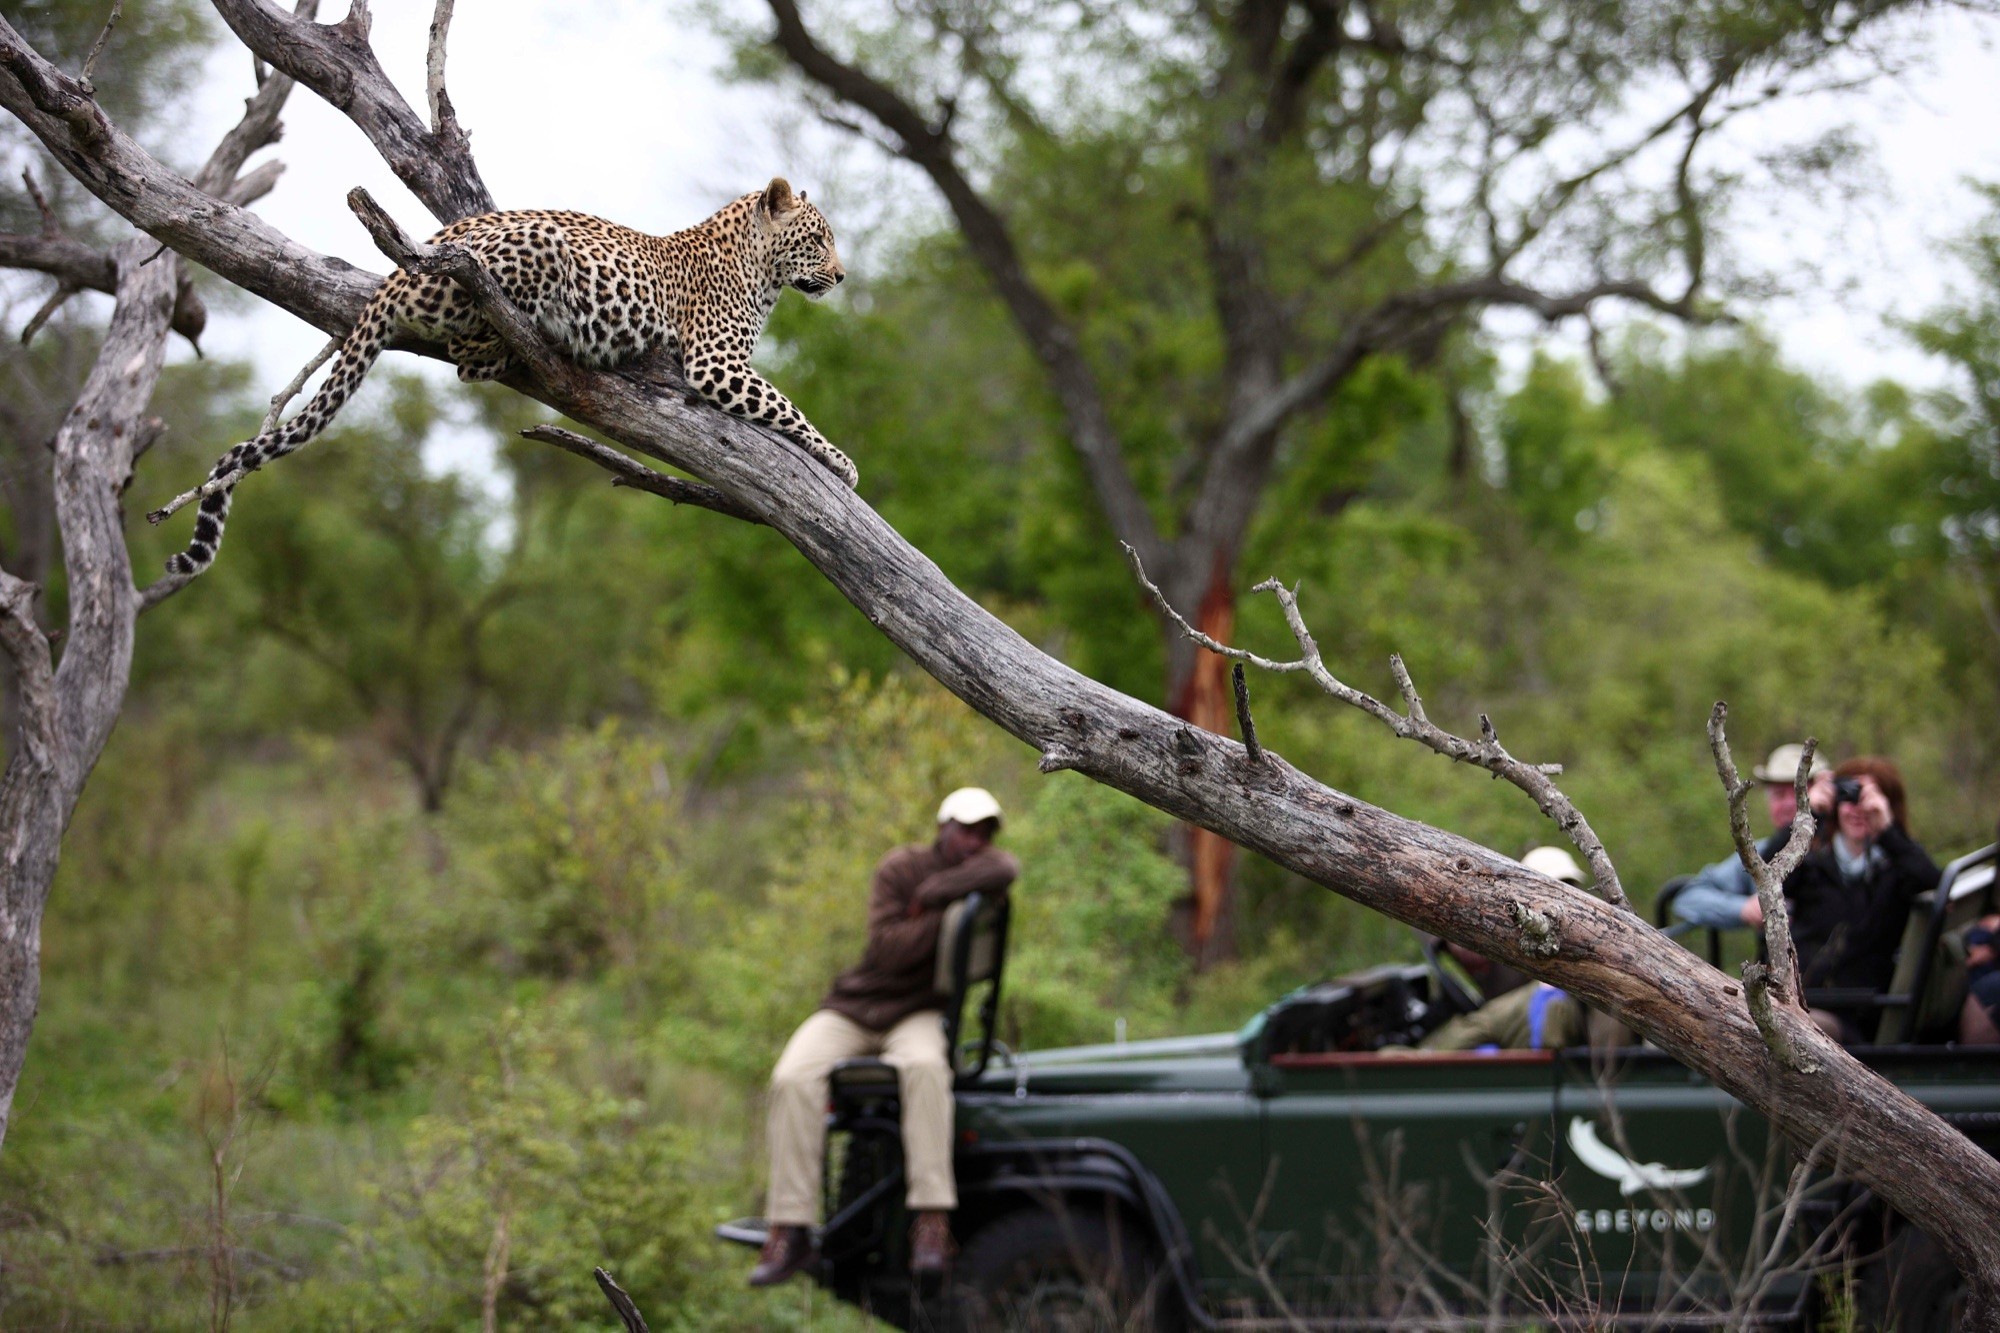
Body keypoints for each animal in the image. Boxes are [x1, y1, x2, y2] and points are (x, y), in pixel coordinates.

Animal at [152, 176, 854, 577]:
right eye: (818, 240)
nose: (843, 276)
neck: (760, 270)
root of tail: (400, 271)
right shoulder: (716, 363)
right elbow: (787, 406)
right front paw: (842, 463)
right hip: (533, 252)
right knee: (468, 350)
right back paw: (528, 342)